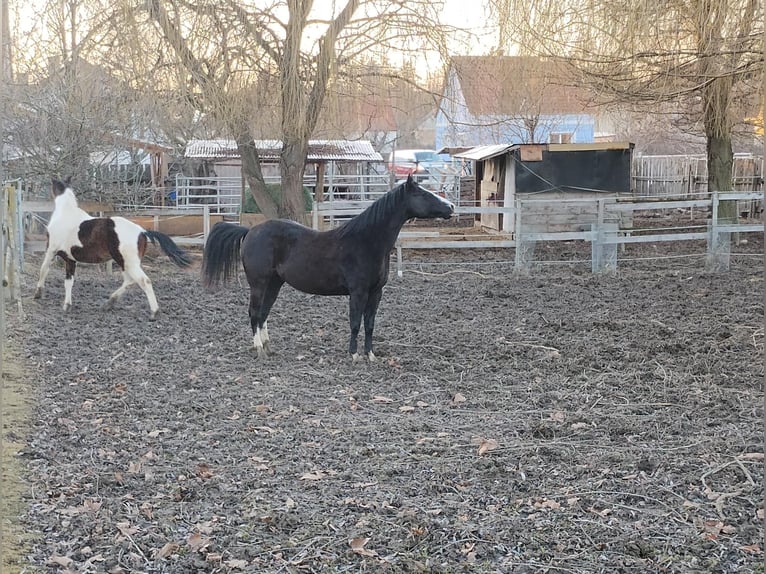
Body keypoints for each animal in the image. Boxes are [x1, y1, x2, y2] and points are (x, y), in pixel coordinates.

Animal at [34, 177, 192, 319]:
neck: (65, 214)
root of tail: (142, 231)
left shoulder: (51, 251)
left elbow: (43, 270)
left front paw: (38, 294)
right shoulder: (70, 259)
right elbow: (68, 282)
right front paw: (67, 306)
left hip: (128, 263)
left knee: (143, 281)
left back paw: (154, 312)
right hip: (125, 263)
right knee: (129, 281)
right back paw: (109, 303)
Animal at [202, 174, 454, 361]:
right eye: (422, 193)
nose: (450, 206)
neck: (366, 241)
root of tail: (250, 231)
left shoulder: (376, 292)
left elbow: (370, 324)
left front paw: (371, 355)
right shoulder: (358, 292)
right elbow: (355, 323)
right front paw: (353, 355)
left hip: (274, 284)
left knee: (263, 313)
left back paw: (269, 347)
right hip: (259, 283)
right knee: (254, 313)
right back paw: (259, 350)